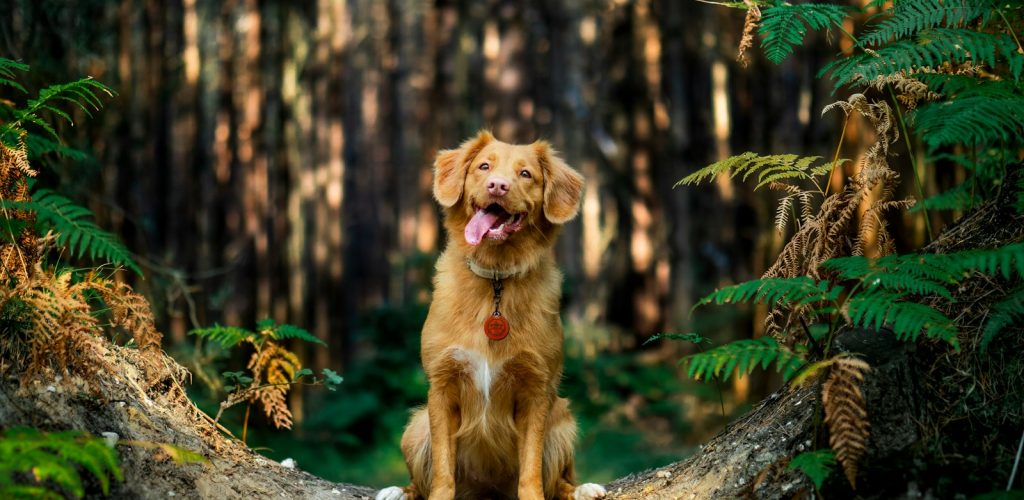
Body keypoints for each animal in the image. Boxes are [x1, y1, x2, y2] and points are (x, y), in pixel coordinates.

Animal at [378, 132, 606, 500]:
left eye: (526, 174)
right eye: (484, 166)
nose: (497, 185)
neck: (496, 277)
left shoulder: (536, 391)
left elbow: (531, 471)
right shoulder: (442, 387)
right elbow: (443, 469)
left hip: (563, 420)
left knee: (561, 481)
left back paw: (582, 489)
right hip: (416, 426)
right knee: (418, 480)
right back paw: (398, 490)